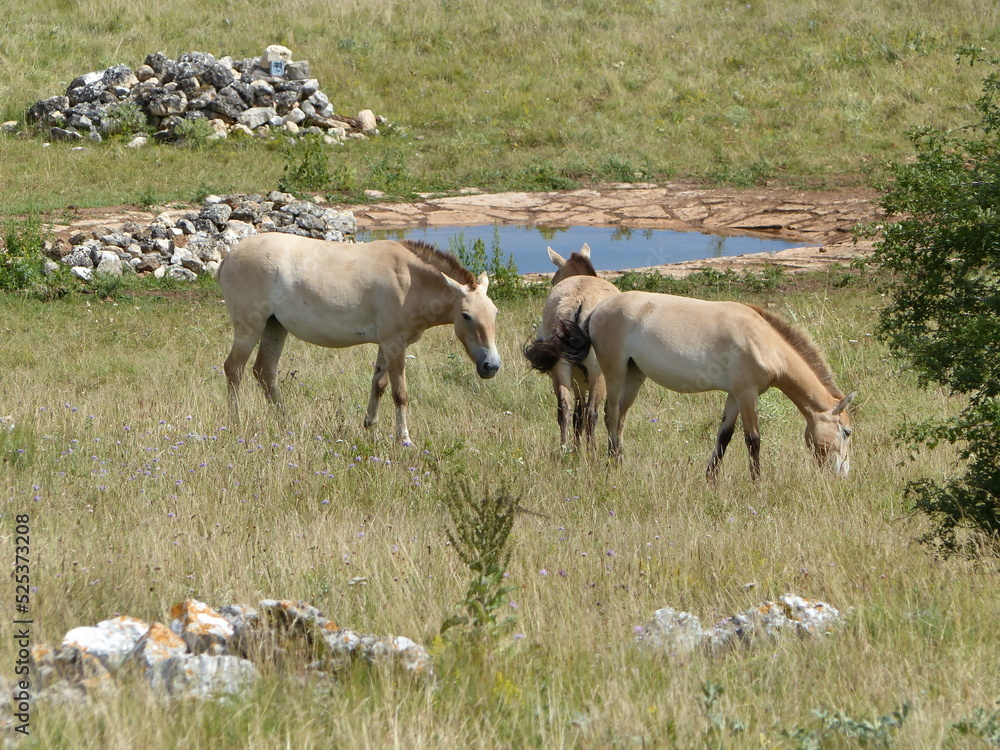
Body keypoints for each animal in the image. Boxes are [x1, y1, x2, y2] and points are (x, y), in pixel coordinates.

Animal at [217, 234, 501, 445]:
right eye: (466, 315)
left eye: (494, 312)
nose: (491, 366)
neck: (410, 280)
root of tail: (228, 256)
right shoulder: (395, 344)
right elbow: (400, 394)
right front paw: (403, 439)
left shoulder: (388, 345)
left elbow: (379, 384)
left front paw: (370, 425)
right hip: (250, 328)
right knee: (234, 369)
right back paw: (235, 423)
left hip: (275, 328)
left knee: (265, 372)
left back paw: (287, 422)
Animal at [523, 244, 620, 451]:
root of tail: (578, 299)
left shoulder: (578, 383)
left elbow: (577, 415)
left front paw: (575, 449)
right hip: (598, 375)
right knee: (592, 414)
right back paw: (592, 454)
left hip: (561, 370)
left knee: (564, 410)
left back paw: (564, 450)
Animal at [555, 291, 856, 479]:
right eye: (847, 432)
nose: (843, 473)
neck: (763, 341)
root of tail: (597, 309)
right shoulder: (747, 394)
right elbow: (753, 439)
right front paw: (756, 483)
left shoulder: (735, 396)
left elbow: (724, 436)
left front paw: (710, 479)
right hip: (615, 374)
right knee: (609, 415)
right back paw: (611, 465)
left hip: (634, 376)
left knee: (619, 420)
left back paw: (618, 461)